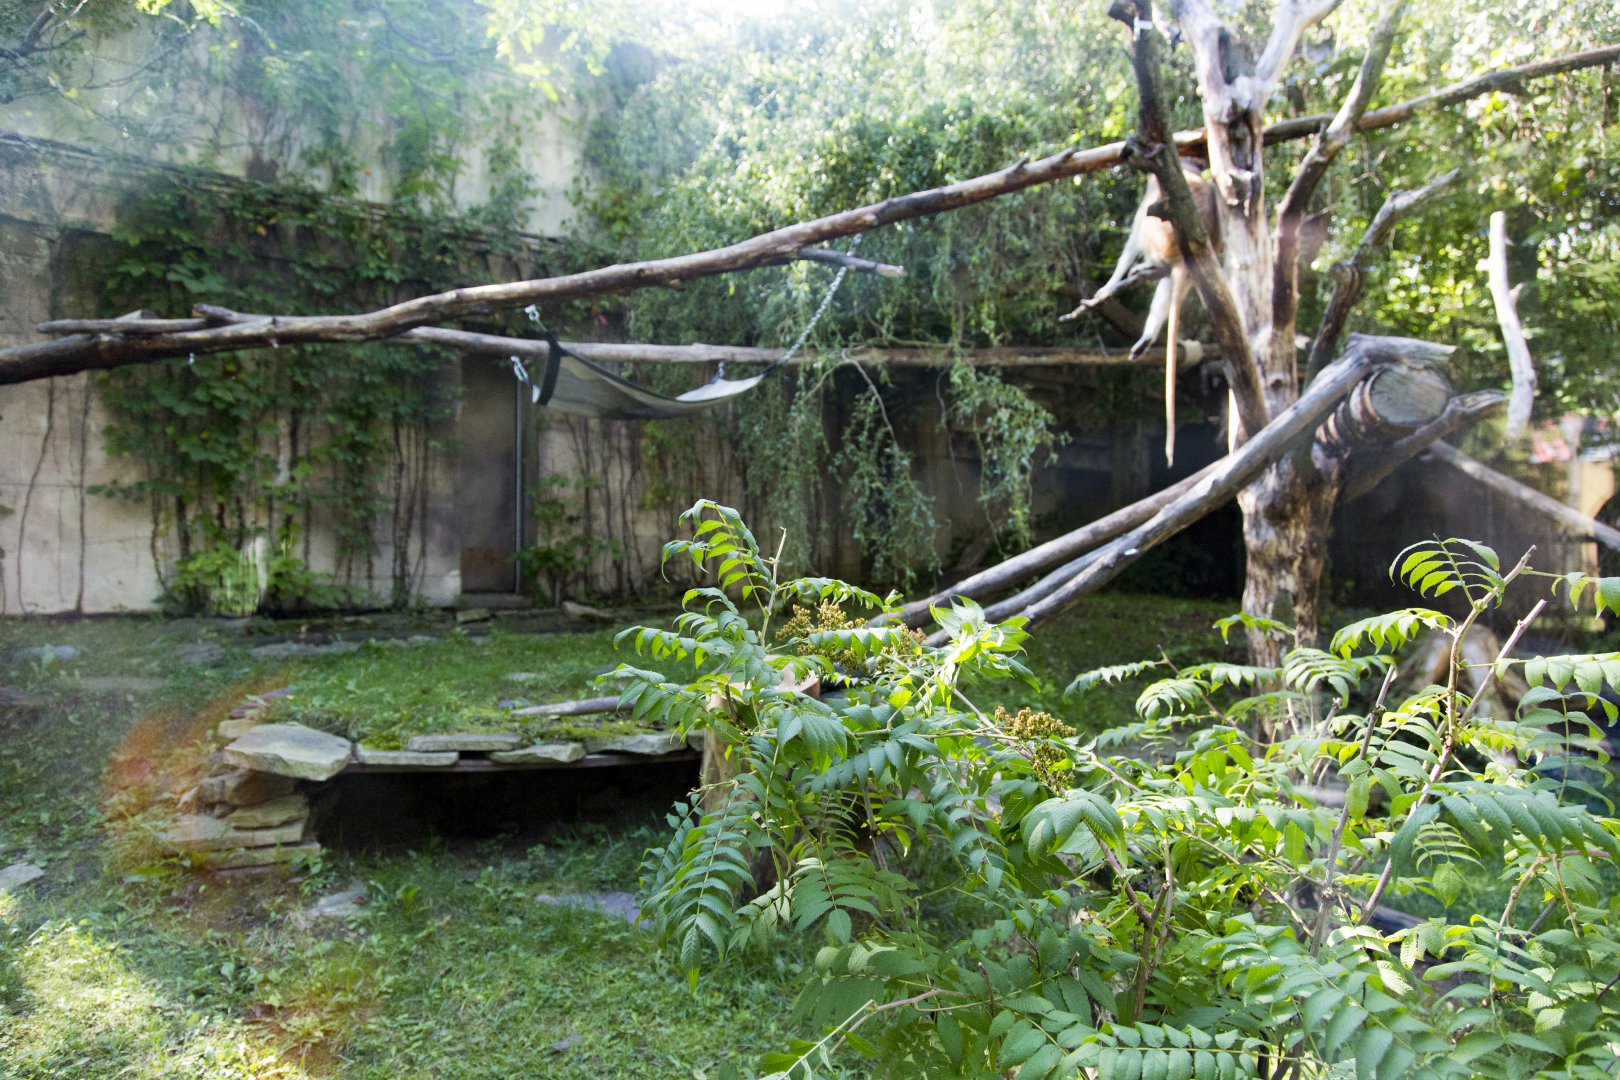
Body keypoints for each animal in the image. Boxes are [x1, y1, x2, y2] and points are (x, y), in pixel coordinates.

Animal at [1061, 160, 1220, 465]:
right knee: (1169, 282)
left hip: (1163, 238)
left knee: (1146, 227)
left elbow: (1135, 232)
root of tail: (1186, 260)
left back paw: (1149, 268)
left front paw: (1107, 287)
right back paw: (1147, 335)